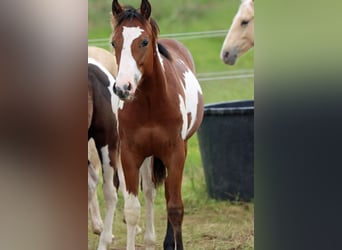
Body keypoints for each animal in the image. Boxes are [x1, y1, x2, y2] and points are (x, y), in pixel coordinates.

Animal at [111, 0, 204, 249]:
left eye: (144, 42)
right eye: (114, 42)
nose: (122, 88)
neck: (151, 105)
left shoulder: (175, 153)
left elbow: (175, 208)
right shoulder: (130, 154)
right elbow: (132, 210)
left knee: (168, 196)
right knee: (151, 192)